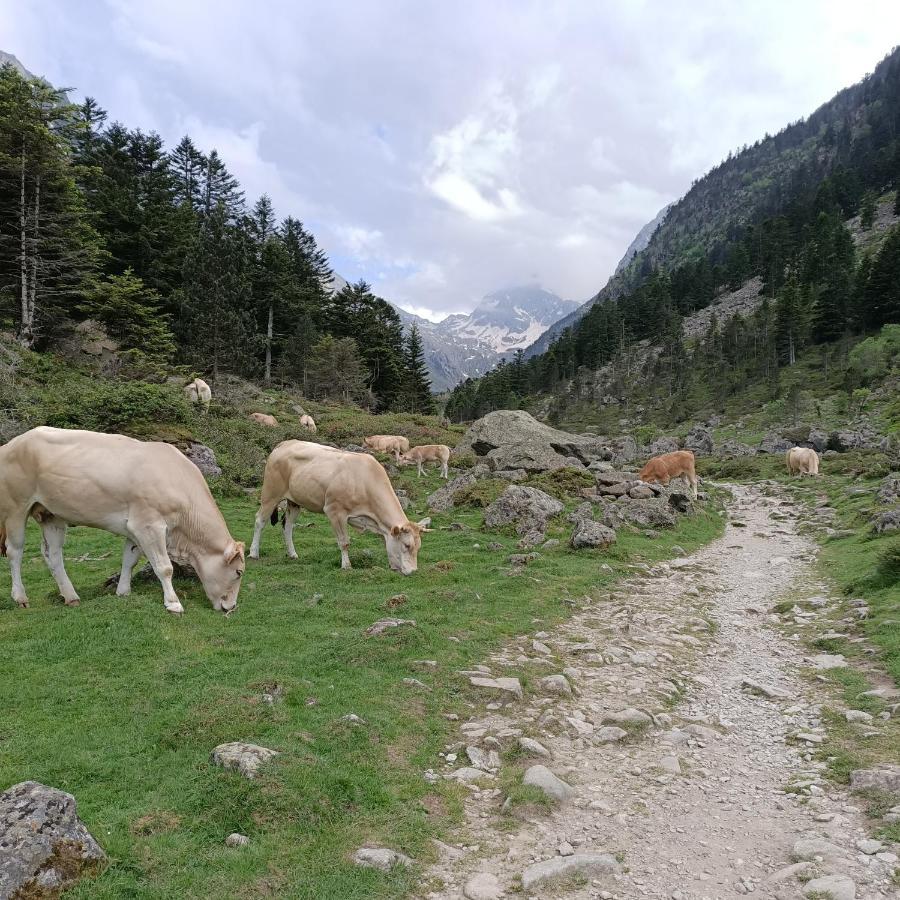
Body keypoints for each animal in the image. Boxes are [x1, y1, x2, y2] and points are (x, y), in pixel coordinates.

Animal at [0, 428, 244, 612]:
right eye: (239, 572)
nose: (231, 607)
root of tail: (13, 443)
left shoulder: (135, 529)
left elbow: (130, 559)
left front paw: (123, 591)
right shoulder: (149, 525)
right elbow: (164, 567)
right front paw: (173, 603)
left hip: (52, 514)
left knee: (53, 554)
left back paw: (71, 596)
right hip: (16, 507)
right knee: (15, 551)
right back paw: (20, 597)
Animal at [246, 440, 428, 572]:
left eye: (419, 547)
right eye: (407, 545)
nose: (413, 571)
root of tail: (285, 443)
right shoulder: (335, 511)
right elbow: (344, 542)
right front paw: (346, 566)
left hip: (294, 501)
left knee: (288, 526)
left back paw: (292, 554)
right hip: (270, 494)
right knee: (260, 520)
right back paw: (253, 553)